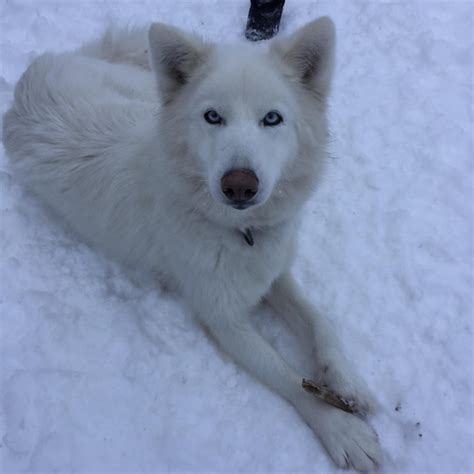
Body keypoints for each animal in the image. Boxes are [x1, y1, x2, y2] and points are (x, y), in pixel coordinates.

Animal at [2, 17, 382, 470]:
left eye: (272, 118)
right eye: (212, 116)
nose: (239, 185)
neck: (240, 231)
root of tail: (36, 70)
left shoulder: (274, 272)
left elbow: (320, 321)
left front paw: (348, 380)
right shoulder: (224, 320)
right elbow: (289, 377)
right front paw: (342, 429)